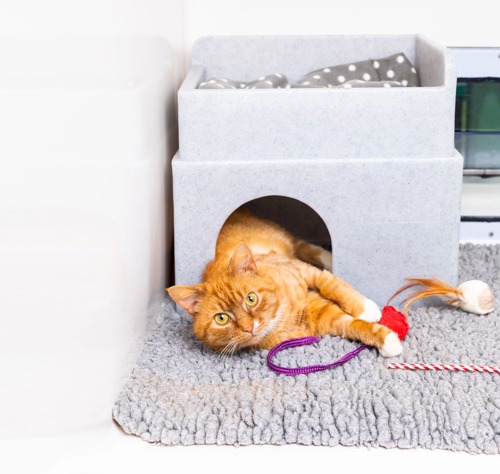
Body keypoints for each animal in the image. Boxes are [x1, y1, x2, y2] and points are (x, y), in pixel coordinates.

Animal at [168, 209, 402, 358]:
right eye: (221, 318)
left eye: (251, 299)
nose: (248, 327)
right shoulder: (325, 316)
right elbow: (353, 326)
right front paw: (386, 339)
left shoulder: (305, 271)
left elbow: (332, 285)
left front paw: (366, 309)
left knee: (304, 245)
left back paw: (328, 256)